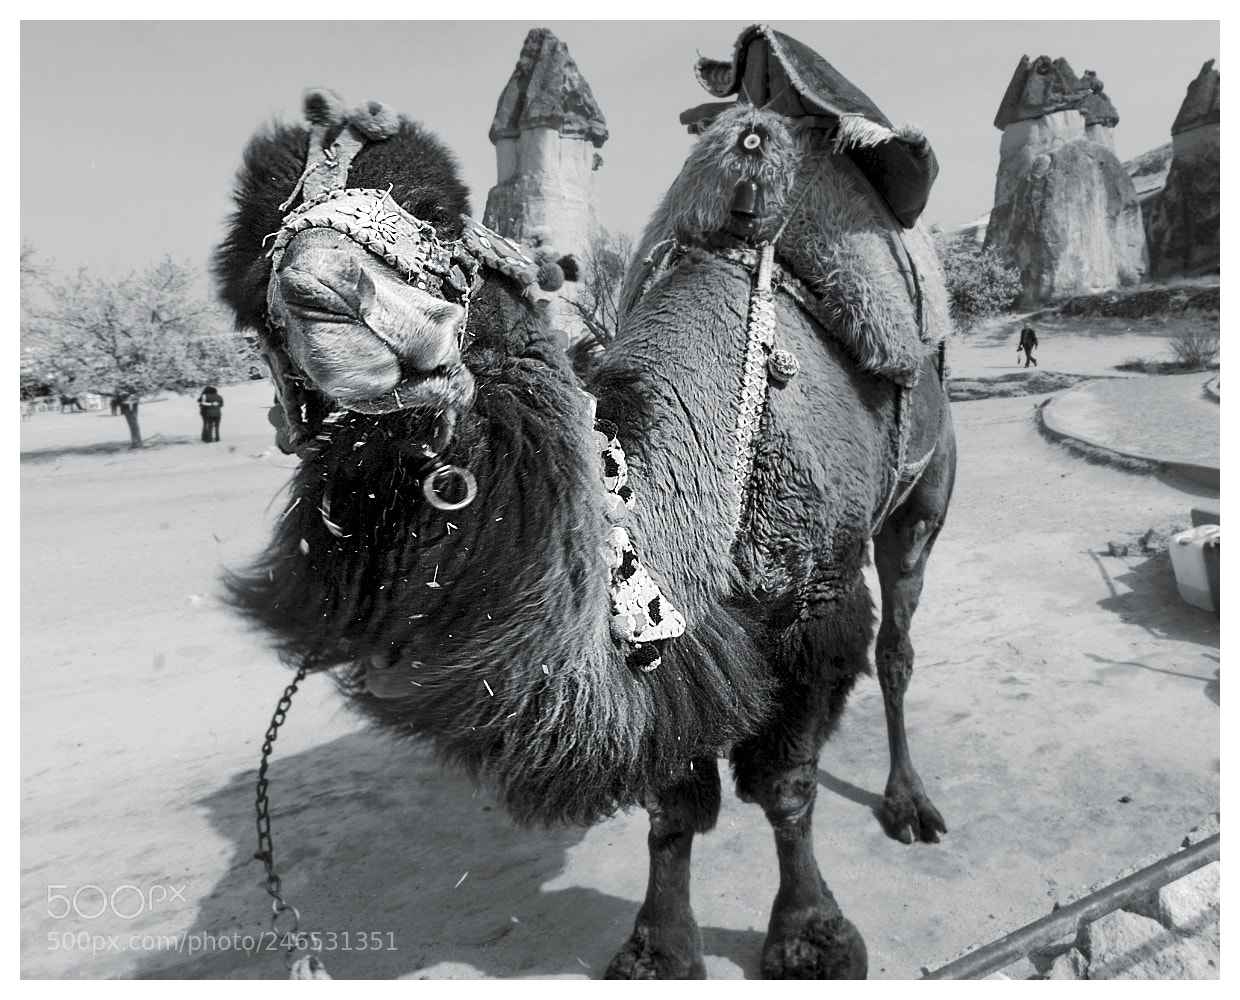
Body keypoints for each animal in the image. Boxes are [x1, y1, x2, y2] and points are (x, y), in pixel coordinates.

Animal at [215, 27, 955, 981]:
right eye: (250, 288)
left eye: (437, 210)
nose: (322, 294)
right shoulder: (686, 645)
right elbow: (675, 802)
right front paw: (657, 948)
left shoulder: (814, 603)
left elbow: (785, 785)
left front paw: (812, 936)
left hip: (924, 490)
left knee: (898, 642)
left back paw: (909, 804)